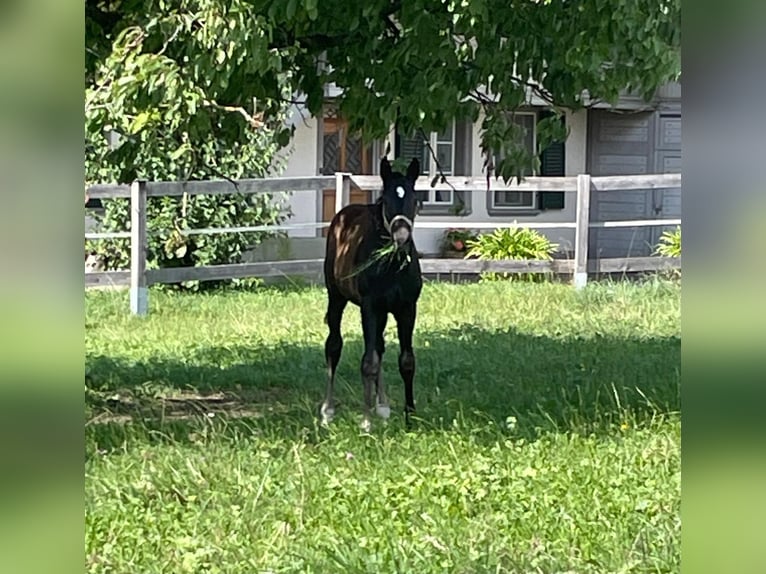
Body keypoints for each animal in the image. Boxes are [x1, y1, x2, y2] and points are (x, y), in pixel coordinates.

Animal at [320, 158, 424, 432]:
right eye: (386, 200)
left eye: (414, 199)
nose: (401, 238)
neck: (393, 265)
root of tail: (344, 214)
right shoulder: (370, 307)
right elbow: (368, 363)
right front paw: (366, 421)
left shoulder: (407, 308)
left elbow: (406, 361)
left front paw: (411, 417)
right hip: (337, 298)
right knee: (334, 345)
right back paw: (328, 410)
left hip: (385, 313)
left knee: (379, 346)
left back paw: (383, 406)